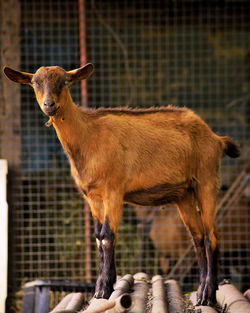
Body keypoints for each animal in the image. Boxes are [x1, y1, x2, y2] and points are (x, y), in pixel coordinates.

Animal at [2, 62, 239, 304]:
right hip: (184, 195)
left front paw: (104, 289)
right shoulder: (93, 197)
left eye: (65, 81)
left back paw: (208, 295)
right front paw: (101, 286)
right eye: (35, 82)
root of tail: (216, 138)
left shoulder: (114, 190)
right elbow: (98, 237)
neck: (88, 136)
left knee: (211, 237)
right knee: (197, 238)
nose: (50, 105)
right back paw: (200, 292)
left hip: (207, 180)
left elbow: (108, 235)